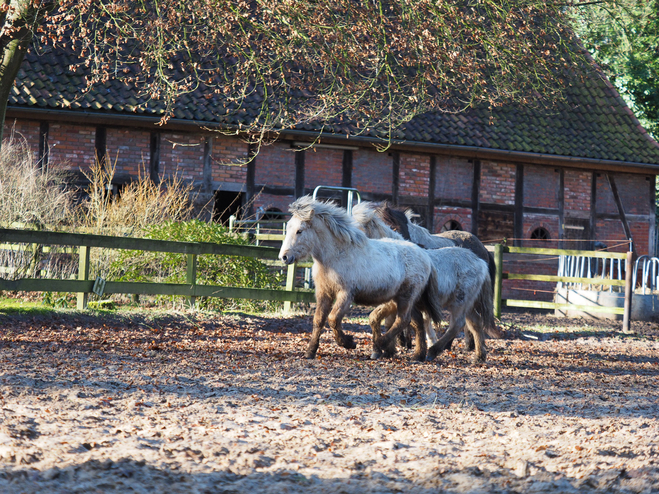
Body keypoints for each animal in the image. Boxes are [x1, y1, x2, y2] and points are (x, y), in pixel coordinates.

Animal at [278, 197, 444, 362]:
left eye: (299, 231)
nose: (284, 257)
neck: (335, 255)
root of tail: (425, 255)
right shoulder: (324, 294)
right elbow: (318, 320)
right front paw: (310, 352)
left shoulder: (345, 294)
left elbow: (333, 318)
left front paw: (349, 343)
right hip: (403, 299)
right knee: (417, 322)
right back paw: (418, 354)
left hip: (406, 297)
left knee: (404, 319)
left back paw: (381, 343)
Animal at [356, 201, 490, 362]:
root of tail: (480, 262)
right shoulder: (394, 302)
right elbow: (380, 319)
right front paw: (386, 350)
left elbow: (412, 322)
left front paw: (390, 347)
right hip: (468, 304)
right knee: (475, 323)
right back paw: (479, 355)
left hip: (459, 303)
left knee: (457, 324)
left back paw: (434, 350)